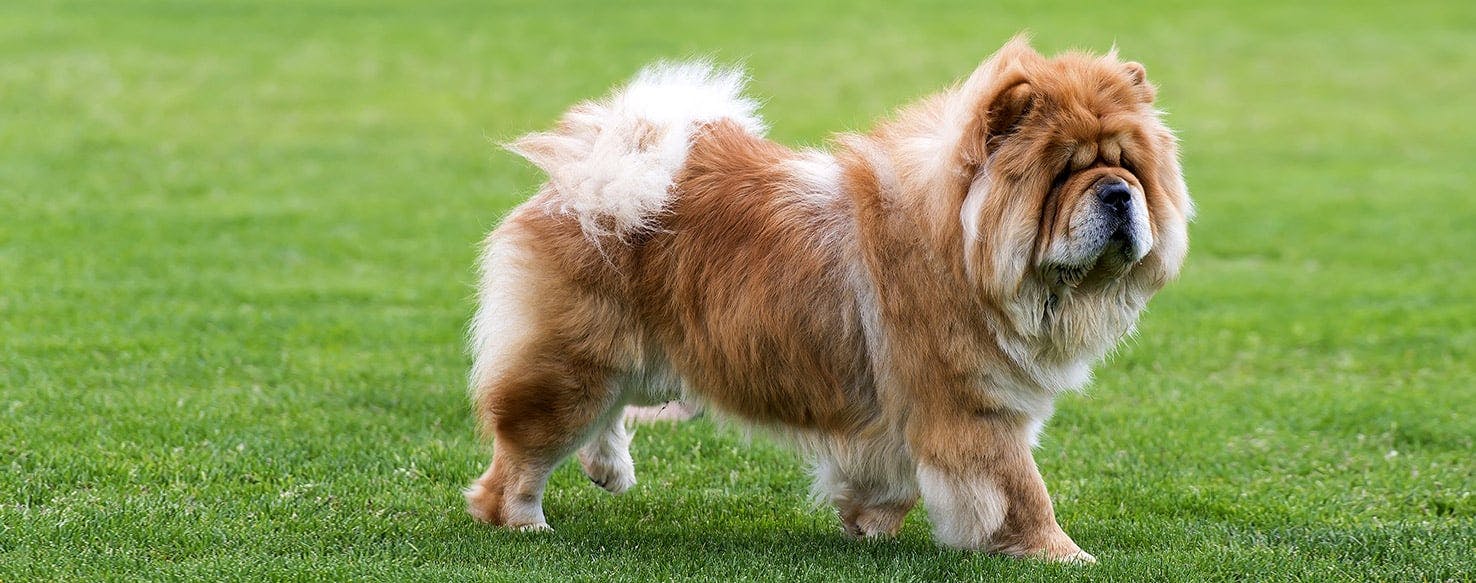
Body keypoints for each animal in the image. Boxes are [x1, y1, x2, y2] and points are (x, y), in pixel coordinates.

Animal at [466, 35, 1192, 560]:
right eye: (1065, 172)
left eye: (1129, 166)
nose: (1117, 193)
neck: (958, 241)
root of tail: (588, 178)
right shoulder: (974, 408)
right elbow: (1021, 492)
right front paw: (1065, 556)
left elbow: (893, 476)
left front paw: (869, 522)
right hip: (574, 368)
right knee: (522, 452)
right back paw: (525, 522)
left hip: (651, 355)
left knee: (610, 412)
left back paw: (610, 469)